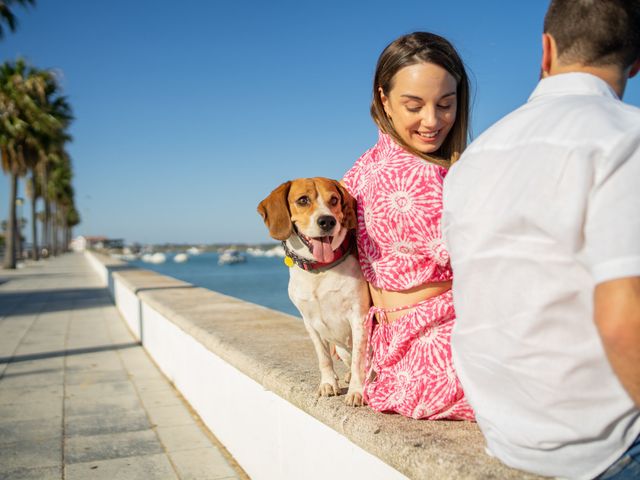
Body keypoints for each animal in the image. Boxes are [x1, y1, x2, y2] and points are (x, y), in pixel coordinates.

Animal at [258, 178, 370, 406]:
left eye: (334, 199)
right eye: (303, 200)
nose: (327, 221)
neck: (319, 270)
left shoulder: (358, 317)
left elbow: (358, 361)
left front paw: (356, 391)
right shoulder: (309, 321)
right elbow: (323, 357)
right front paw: (328, 383)